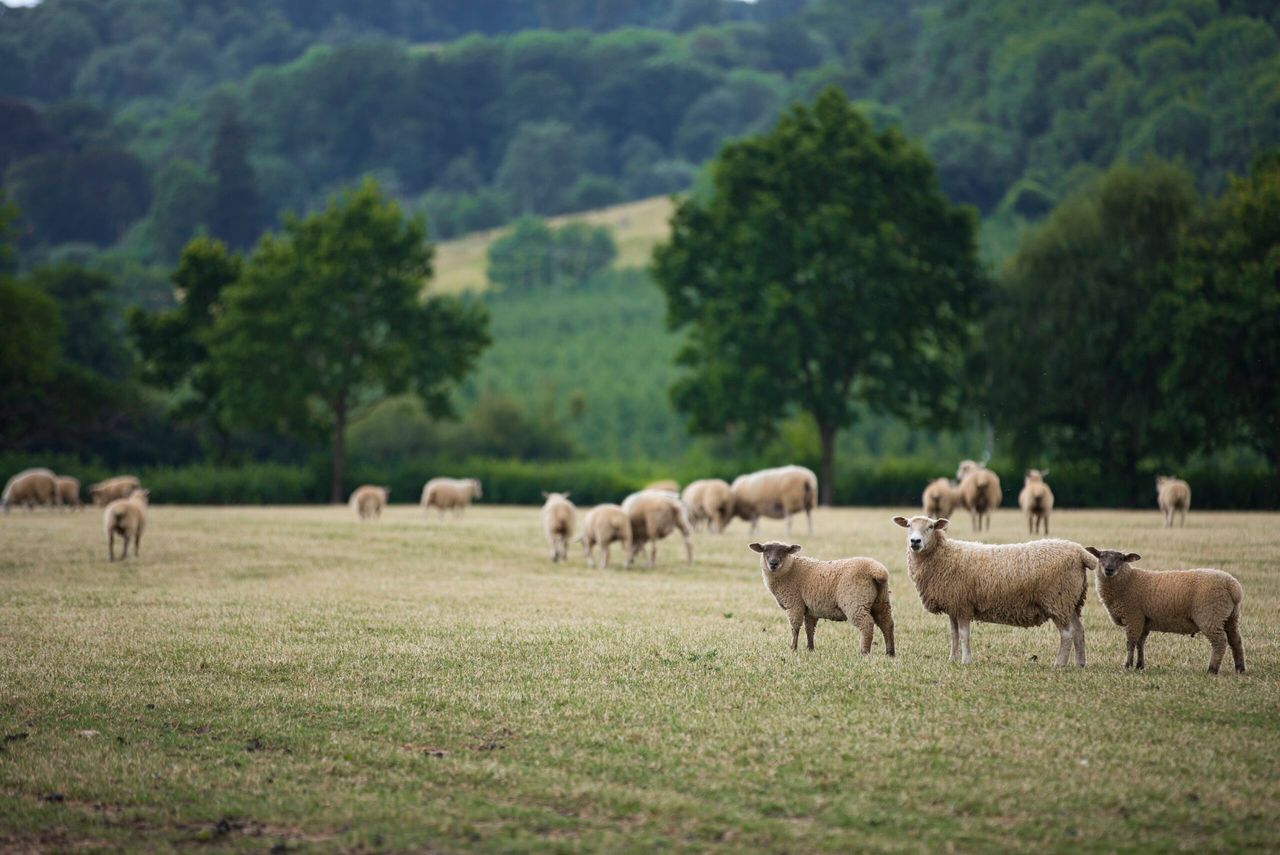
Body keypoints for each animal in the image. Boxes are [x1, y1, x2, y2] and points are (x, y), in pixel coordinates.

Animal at [750, 541, 895, 657]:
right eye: (765, 551)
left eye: (784, 551)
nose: (773, 564)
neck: (789, 570)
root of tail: (877, 571)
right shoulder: (810, 609)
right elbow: (809, 629)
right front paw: (810, 649)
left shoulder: (794, 604)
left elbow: (795, 628)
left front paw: (793, 649)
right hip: (881, 601)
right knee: (887, 624)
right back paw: (890, 653)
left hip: (855, 602)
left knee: (867, 625)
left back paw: (864, 653)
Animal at [892, 515, 1095, 666]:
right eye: (908, 525)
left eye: (931, 526)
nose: (915, 541)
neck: (943, 555)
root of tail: (1080, 552)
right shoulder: (953, 605)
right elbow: (954, 634)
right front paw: (952, 659)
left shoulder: (963, 604)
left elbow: (964, 634)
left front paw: (966, 661)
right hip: (1071, 601)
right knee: (1079, 631)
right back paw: (1080, 663)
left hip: (1057, 600)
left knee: (1067, 634)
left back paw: (1059, 664)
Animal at [1086, 548, 1245, 674]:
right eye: (1101, 556)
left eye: (1121, 558)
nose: (1109, 570)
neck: (1128, 581)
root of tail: (1233, 586)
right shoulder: (1143, 620)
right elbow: (1140, 644)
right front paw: (1139, 666)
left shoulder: (1133, 617)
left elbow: (1130, 643)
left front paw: (1127, 666)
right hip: (1230, 617)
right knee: (1236, 641)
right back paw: (1240, 669)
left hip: (1210, 616)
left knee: (1220, 642)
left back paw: (1212, 669)